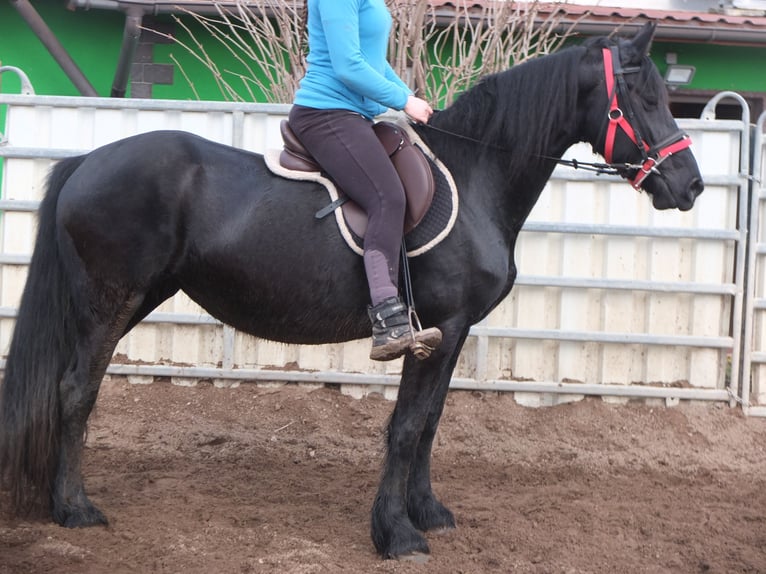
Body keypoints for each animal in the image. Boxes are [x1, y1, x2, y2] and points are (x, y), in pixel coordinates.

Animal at [0, 23, 704, 564]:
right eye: (644, 96)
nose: (690, 185)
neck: (477, 173)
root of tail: (85, 163)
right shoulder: (438, 328)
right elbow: (407, 426)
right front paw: (396, 535)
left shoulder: (453, 332)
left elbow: (431, 422)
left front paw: (428, 512)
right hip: (109, 302)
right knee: (75, 391)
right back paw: (75, 508)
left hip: (132, 298)